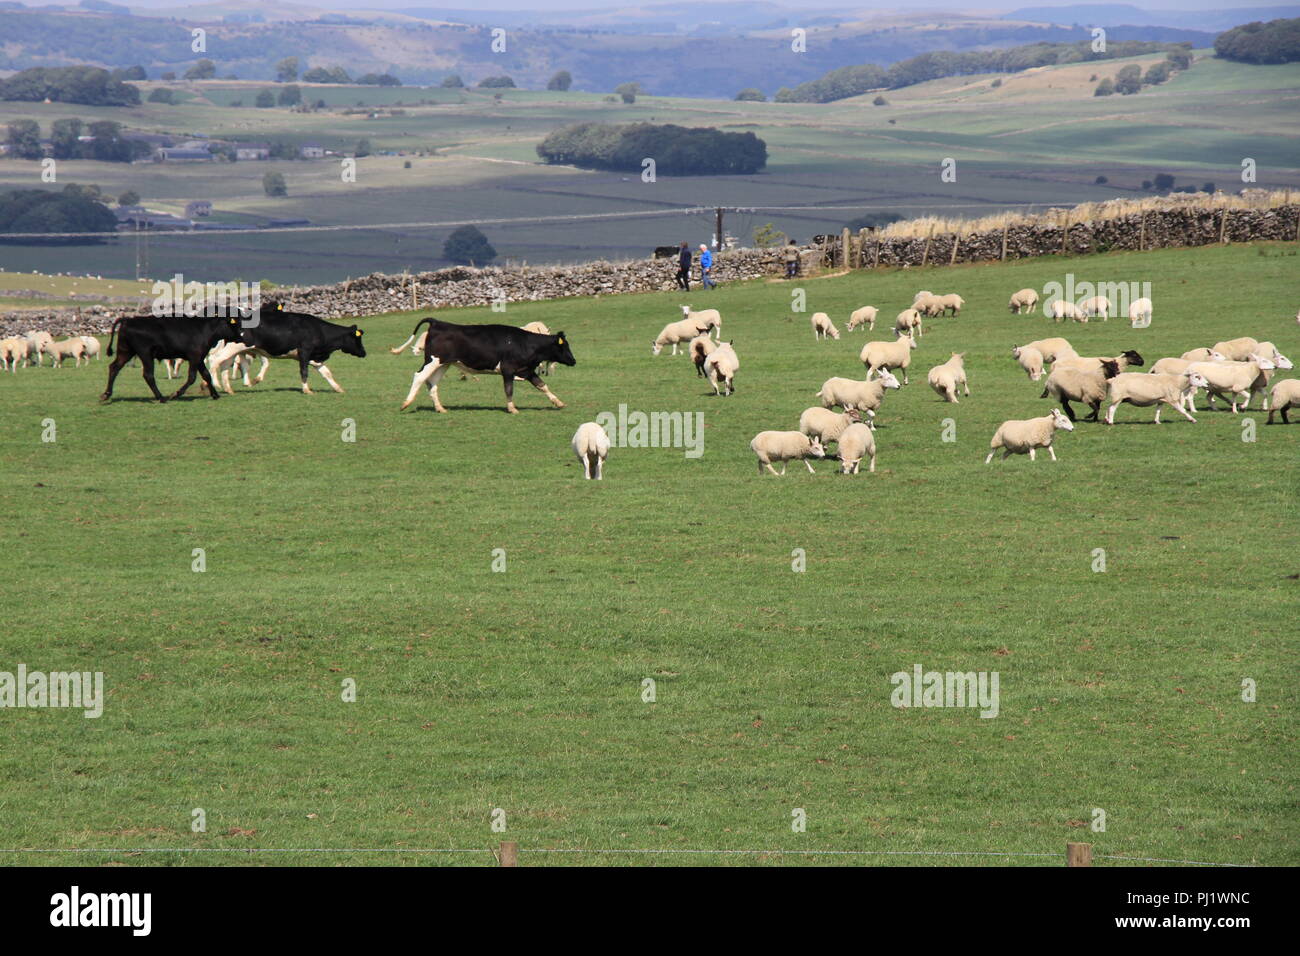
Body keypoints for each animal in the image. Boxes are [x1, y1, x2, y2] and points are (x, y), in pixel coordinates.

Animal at [101, 316, 239, 403]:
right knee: (148, 375)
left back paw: (106, 394)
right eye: (235, 323)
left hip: (125, 351)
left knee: (114, 367)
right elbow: (192, 377)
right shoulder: (194, 357)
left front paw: (215, 395)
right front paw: (175, 394)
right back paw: (161, 397)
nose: (240, 336)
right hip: (145, 353)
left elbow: (206, 375)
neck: (204, 330)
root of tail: (128, 320)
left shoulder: (199, 358)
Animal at [237, 308, 366, 395]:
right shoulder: (304, 352)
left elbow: (326, 373)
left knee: (242, 364)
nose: (364, 353)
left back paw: (248, 382)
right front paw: (306, 390)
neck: (318, 330)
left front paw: (338, 388)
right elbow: (304, 371)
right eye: (358, 338)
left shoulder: (314, 357)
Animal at [400, 319, 574, 413]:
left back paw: (440, 408)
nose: (574, 361)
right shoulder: (508, 370)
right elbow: (509, 389)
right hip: (433, 361)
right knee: (419, 377)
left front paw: (558, 402)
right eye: (564, 347)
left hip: (444, 364)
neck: (524, 343)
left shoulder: (527, 370)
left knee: (432, 383)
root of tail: (437, 322)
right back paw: (406, 403)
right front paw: (512, 408)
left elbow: (542, 386)